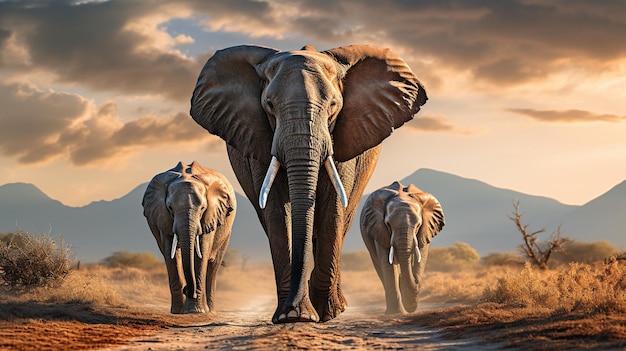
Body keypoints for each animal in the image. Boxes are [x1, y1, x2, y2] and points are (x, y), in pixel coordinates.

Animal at [140, 162, 235, 314]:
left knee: (214, 265)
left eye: (203, 208)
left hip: (226, 232)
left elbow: (201, 253)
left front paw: (196, 311)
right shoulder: (163, 216)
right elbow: (171, 254)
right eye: (170, 208)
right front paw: (178, 311)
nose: (187, 290)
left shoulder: (210, 216)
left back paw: (210, 310)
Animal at [188, 44, 426, 324]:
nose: (296, 311)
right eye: (269, 105)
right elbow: (277, 213)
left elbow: (332, 208)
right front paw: (290, 315)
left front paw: (321, 313)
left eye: (333, 105)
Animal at [358, 182, 442, 314]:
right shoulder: (379, 228)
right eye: (388, 224)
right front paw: (397, 312)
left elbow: (421, 258)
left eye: (418, 225)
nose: (417, 284)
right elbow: (387, 264)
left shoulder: (426, 230)